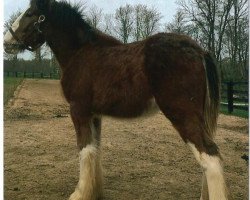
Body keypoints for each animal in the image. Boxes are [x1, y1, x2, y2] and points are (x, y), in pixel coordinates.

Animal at [3, 0, 229, 200]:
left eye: (30, 14)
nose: (6, 42)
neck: (80, 53)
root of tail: (199, 50)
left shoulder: (78, 110)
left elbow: (84, 150)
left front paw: (80, 194)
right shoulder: (94, 115)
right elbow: (95, 150)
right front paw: (94, 192)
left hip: (182, 115)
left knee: (210, 157)